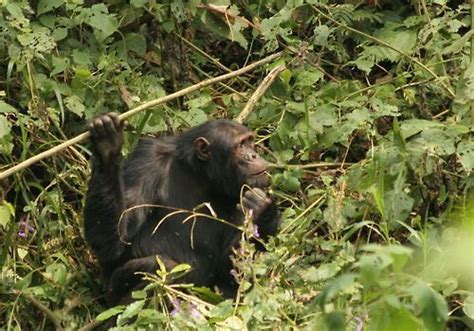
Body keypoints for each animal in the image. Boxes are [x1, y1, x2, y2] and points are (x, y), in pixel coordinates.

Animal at [84, 113, 280, 304]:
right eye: (240, 145)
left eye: (250, 141)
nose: (253, 155)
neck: (200, 174)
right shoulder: (146, 160)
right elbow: (116, 241)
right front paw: (106, 148)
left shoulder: (242, 191)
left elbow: (231, 272)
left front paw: (262, 210)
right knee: (162, 266)